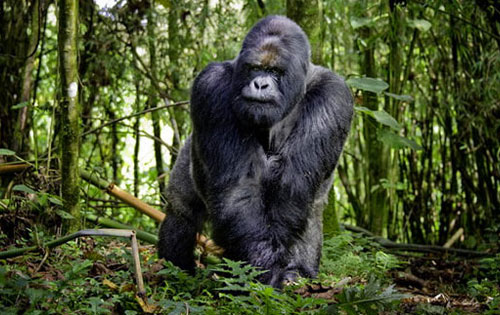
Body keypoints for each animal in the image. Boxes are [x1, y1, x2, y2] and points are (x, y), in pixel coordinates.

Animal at [158, 15, 354, 288]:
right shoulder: (211, 84)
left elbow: (291, 189)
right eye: (253, 68)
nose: (260, 84)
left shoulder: (333, 95)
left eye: (274, 72)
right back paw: (176, 272)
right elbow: (238, 191)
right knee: (182, 212)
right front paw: (259, 272)